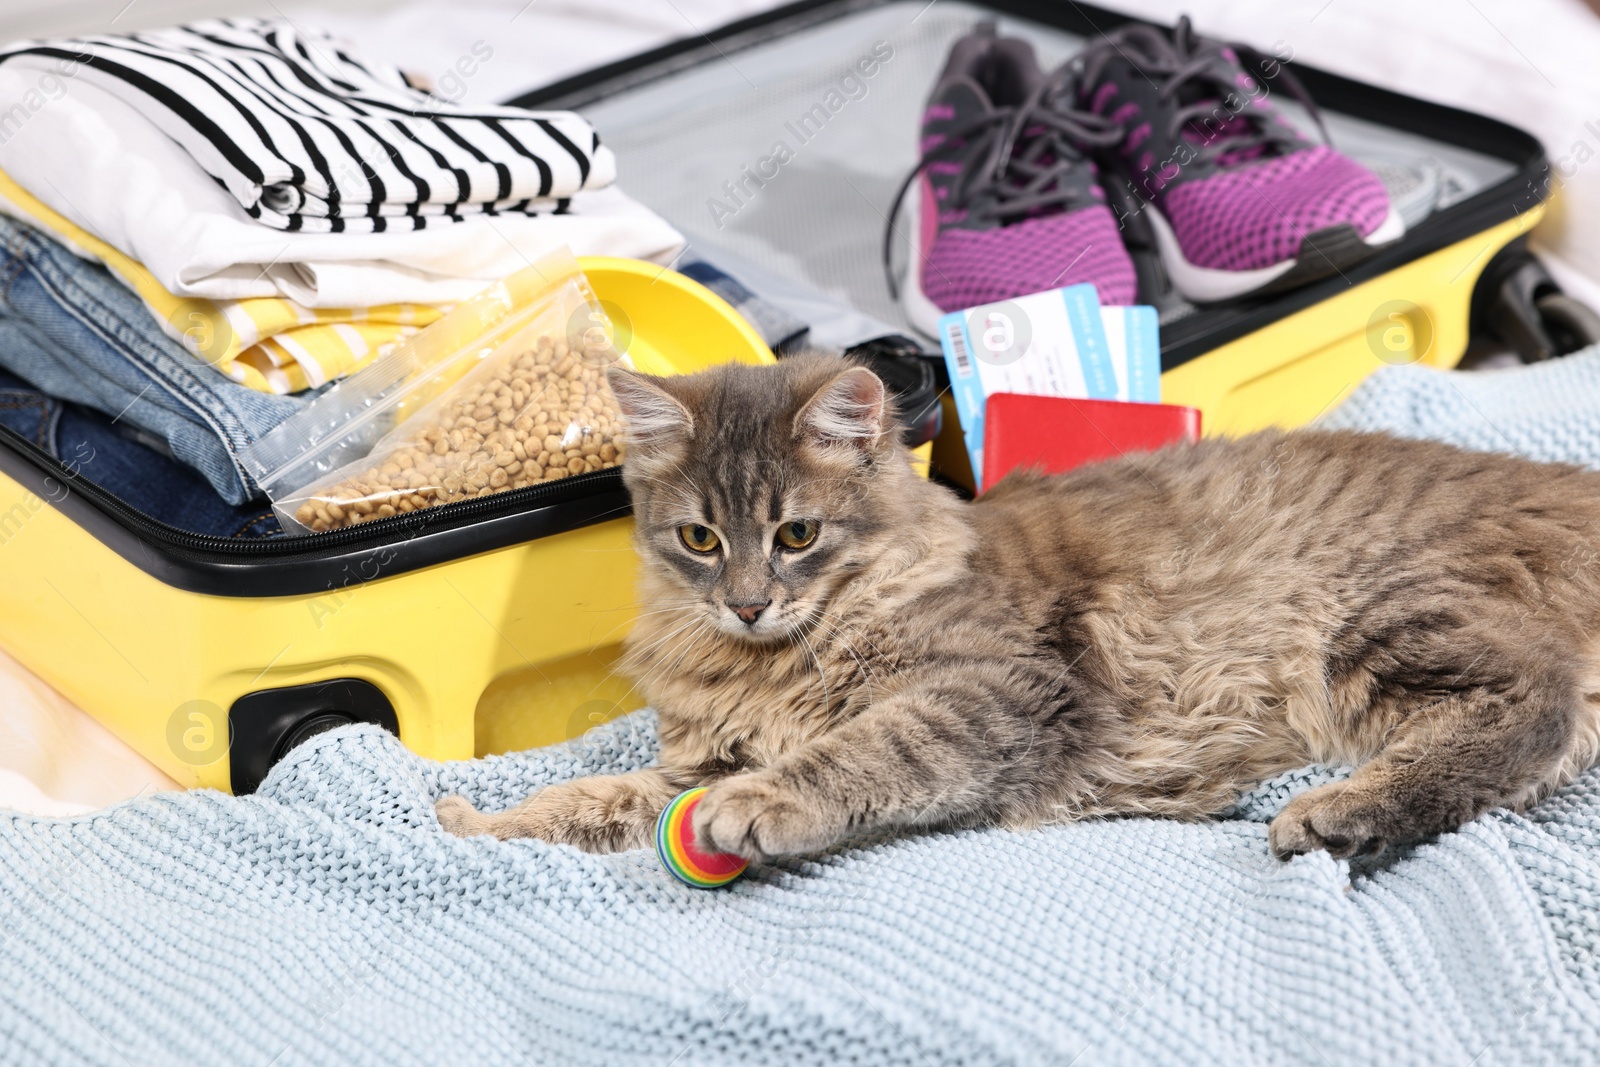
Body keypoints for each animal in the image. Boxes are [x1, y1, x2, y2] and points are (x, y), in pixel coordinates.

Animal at [435, 355, 1600, 863]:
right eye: (700, 540)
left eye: (797, 535)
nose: (751, 605)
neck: (769, 664)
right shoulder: (690, 759)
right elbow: (595, 797)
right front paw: (476, 822)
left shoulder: (1000, 687)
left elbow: (858, 752)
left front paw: (762, 806)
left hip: (1382, 613)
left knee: (1530, 714)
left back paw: (1336, 814)